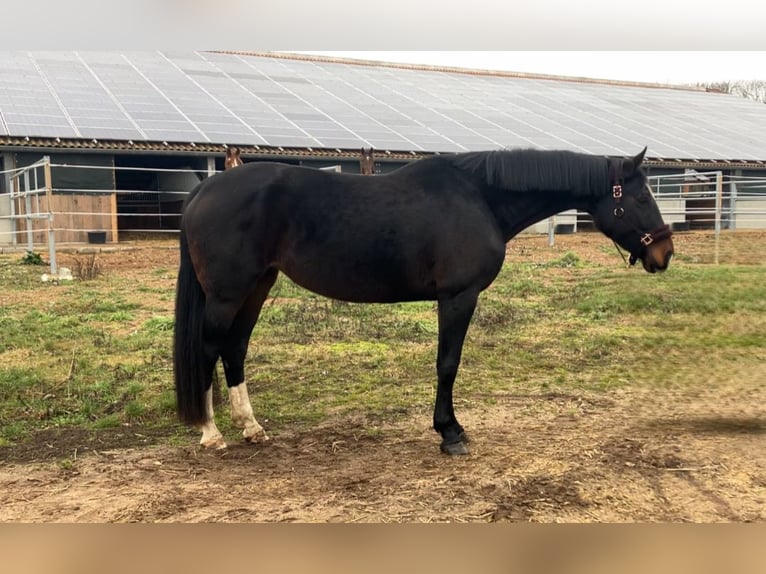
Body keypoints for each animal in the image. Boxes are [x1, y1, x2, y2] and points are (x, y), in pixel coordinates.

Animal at [173, 147, 674, 455]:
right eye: (641, 196)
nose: (664, 254)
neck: (479, 199)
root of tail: (204, 190)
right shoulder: (457, 296)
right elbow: (447, 363)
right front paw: (450, 432)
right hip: (228, 293)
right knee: (209, 348)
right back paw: (211, 433)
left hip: (257, 286)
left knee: (235, 349)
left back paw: (251, 427)